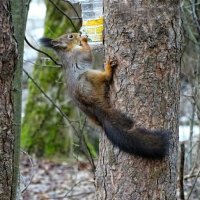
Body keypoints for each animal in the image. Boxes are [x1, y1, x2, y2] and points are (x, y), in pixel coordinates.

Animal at [39, 32, 171, 159]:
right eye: (70, 36)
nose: (79, 33)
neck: (67, 51)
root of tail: (96, 107)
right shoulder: (78, 54)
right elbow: (87, 54)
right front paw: (84, 40)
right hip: (90, 76)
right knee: (106, 77)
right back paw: (108, 69)